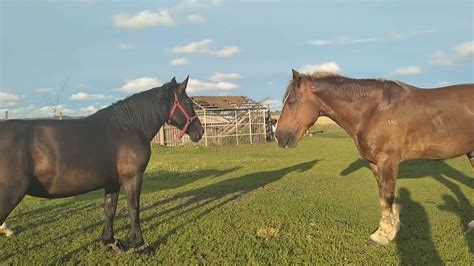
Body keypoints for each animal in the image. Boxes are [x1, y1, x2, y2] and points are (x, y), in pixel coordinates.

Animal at [0, 76, 204, 251]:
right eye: (189, 103)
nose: (200, 131)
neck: (129, 127)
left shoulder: (112, 182)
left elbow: (110, 209)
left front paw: (109, 240)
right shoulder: (132, 178)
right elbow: (133, 209)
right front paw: (140, 244)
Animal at [276, 69, 474, 246]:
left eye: (291, 101)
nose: (279, 137)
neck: (373, 110)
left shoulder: (387, 161)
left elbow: (387, 196)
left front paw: (382, 236)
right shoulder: (375, 163)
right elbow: (382, 197)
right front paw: (389, 230)